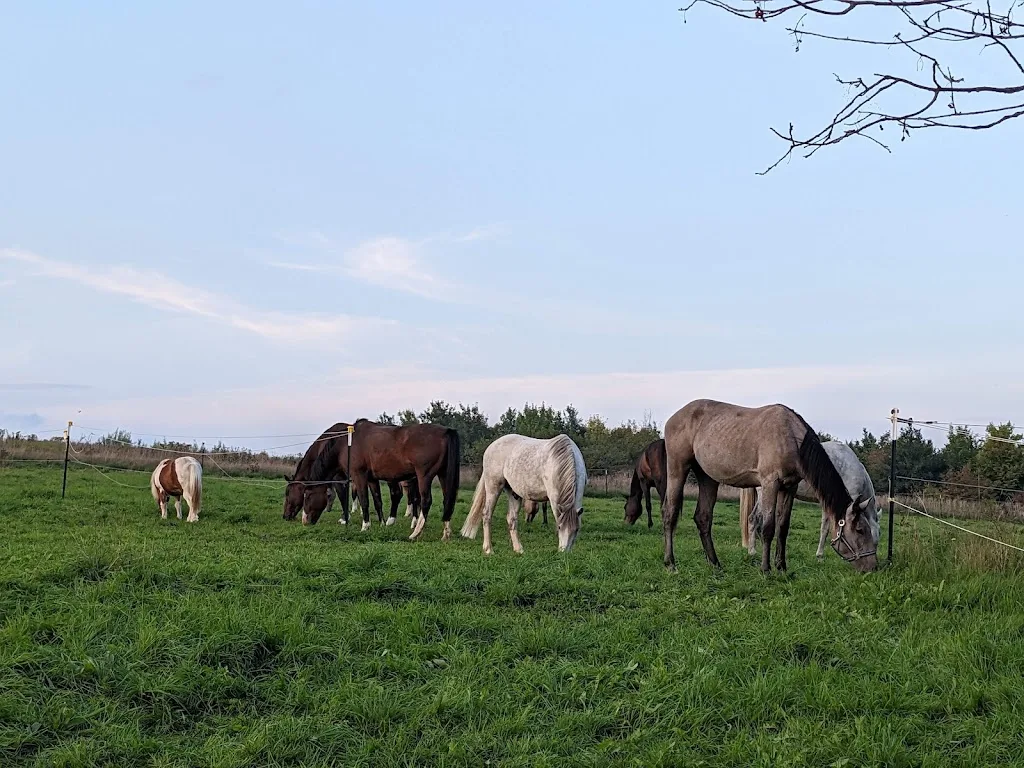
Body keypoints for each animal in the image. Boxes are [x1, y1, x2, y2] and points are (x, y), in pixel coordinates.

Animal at [306, 419, 461, 541]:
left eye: (307, 496)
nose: (305, 521)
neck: (347, 444)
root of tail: (446, 431)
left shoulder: (358, 475)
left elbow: (364, 500)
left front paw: (365, 526)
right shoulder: (371, 479)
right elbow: (377, 500)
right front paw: (381, 524)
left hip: (424, 475)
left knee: (426, 501)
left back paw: (415, 533)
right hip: (443, 474)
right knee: (447, 500)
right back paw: (446, 534)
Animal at [739, 440, 880, 561]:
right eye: (864, 534)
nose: (875, 566)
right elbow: (826, 529)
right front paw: (820, 555)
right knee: (754, 518)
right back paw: (752, 551)